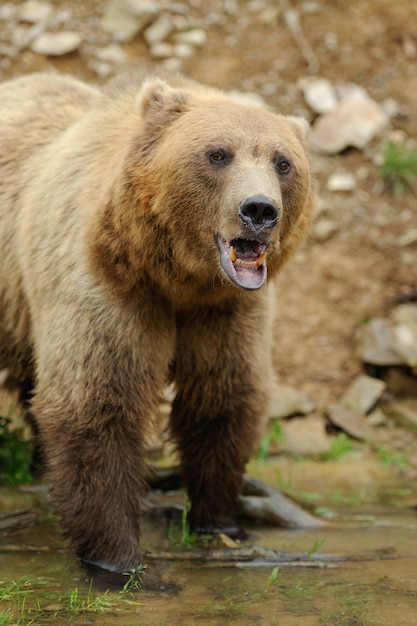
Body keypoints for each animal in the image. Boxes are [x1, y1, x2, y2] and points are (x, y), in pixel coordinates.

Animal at [0, 70, 314, 572]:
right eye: (218, 153)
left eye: (282, 162)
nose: (260, 210)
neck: (178, 280)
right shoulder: (108, 288)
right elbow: (97, 402)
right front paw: (117, 556)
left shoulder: (226, 312)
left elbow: (223, 397)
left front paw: (218, 519)